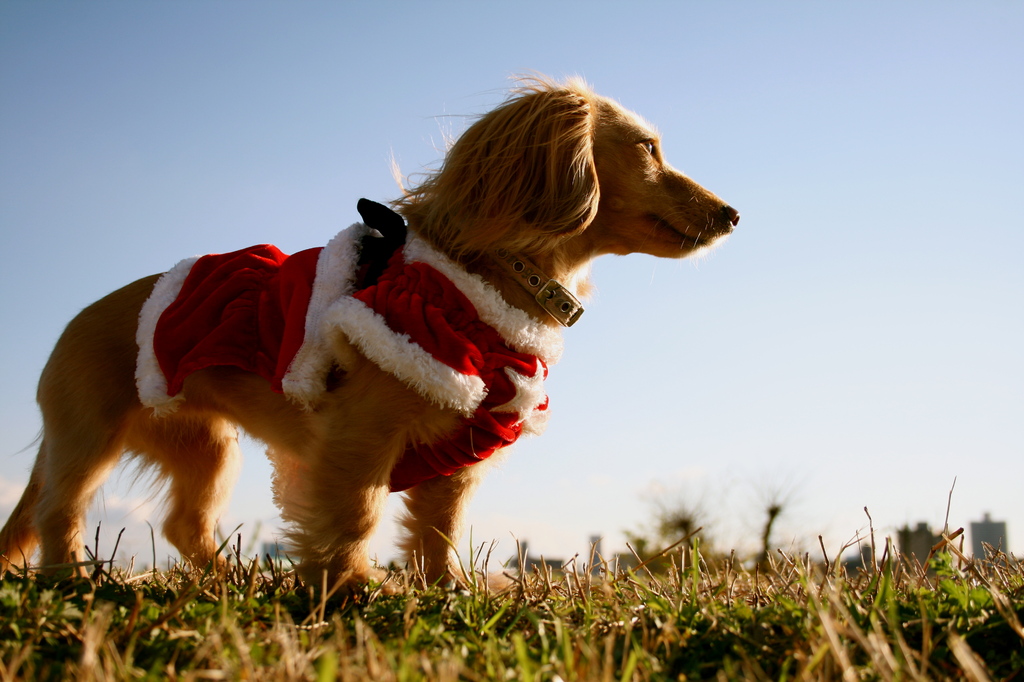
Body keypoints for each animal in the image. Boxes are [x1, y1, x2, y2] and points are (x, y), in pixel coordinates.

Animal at [0, 76, 737, 585]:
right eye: (648, 149)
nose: (733, 214)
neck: (490, 282)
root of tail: (77, 318)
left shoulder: (459, 448)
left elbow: (440, 530)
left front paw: (448, 589)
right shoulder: (362, 432)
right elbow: (355, 512)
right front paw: (349, 586)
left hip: (205, 447)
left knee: (183, 523)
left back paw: (229, 579)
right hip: (90, 435)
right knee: (58, 510)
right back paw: (70, 576)